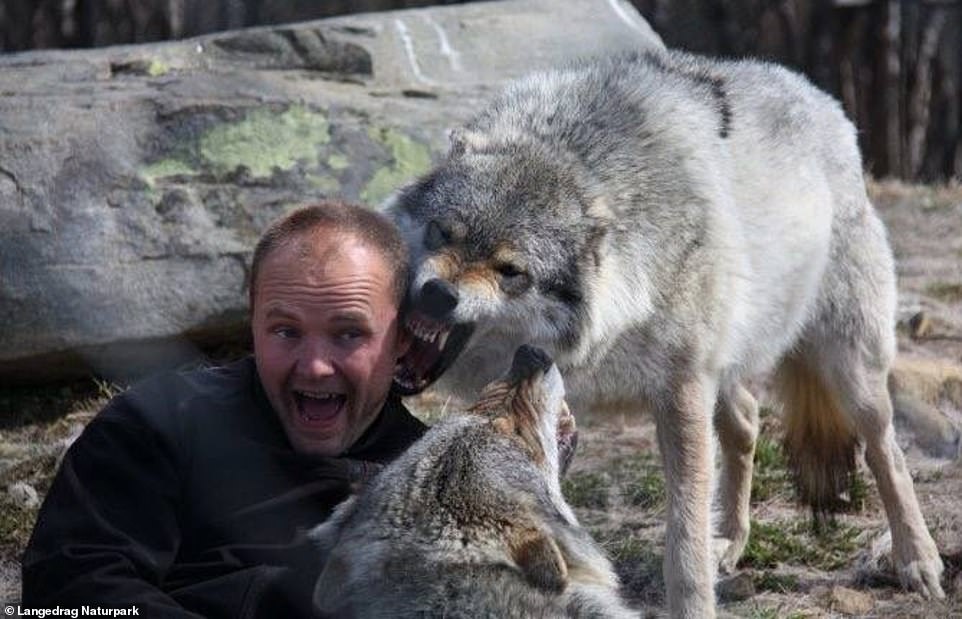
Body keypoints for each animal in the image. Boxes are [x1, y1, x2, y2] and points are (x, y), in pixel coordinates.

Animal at [387, 50, 945, 617]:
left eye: (510, 271)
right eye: (442, 232)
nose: (437, 295)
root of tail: (822, 99)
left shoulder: (681, 393)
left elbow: (684, 540)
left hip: (848, 368)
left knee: (885, 449)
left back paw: (918, 560)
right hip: (726, 365)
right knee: (747, 420)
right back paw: (731, 540)